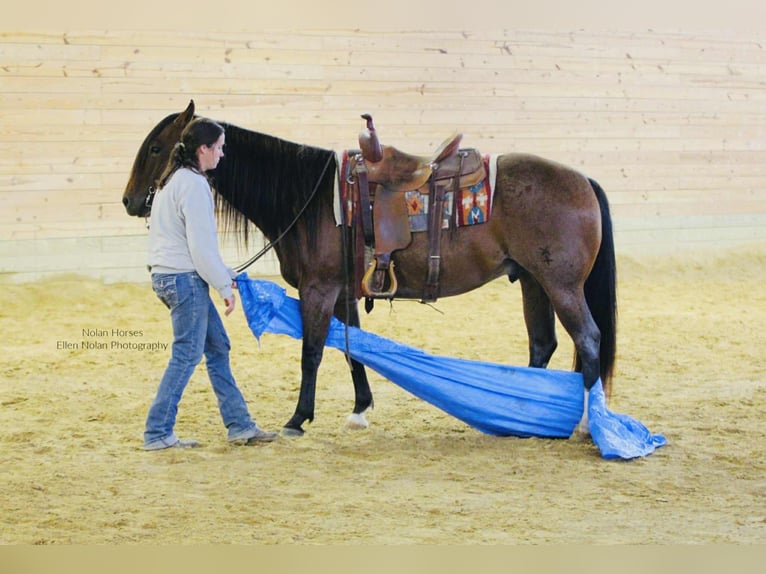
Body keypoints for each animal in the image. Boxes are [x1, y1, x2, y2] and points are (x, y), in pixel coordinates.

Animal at [122, 100, 616, 437]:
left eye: (155, 147)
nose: (129, 201)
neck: (310, 200)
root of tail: (583, 180)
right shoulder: (343, 291)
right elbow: (352, 349)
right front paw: (360, 408)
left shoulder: (318, 290)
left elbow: (313, 352)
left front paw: (298, 419)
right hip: (533, 281)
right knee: (543, 344)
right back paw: (523, 415)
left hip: (561, 285)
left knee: (588, 341)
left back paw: (588, 425)